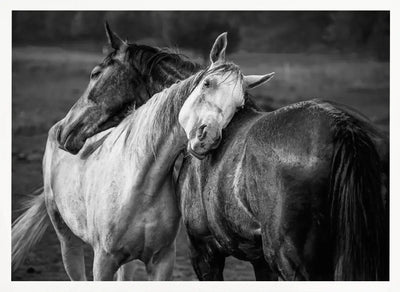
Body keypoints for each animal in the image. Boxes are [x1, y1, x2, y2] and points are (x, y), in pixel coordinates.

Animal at [11, 30, 272, 280]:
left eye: (239, 105)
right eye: (206, 83)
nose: (207, 136)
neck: (140, 183)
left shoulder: (165, 260)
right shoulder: (103, 261)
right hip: (68, 241)